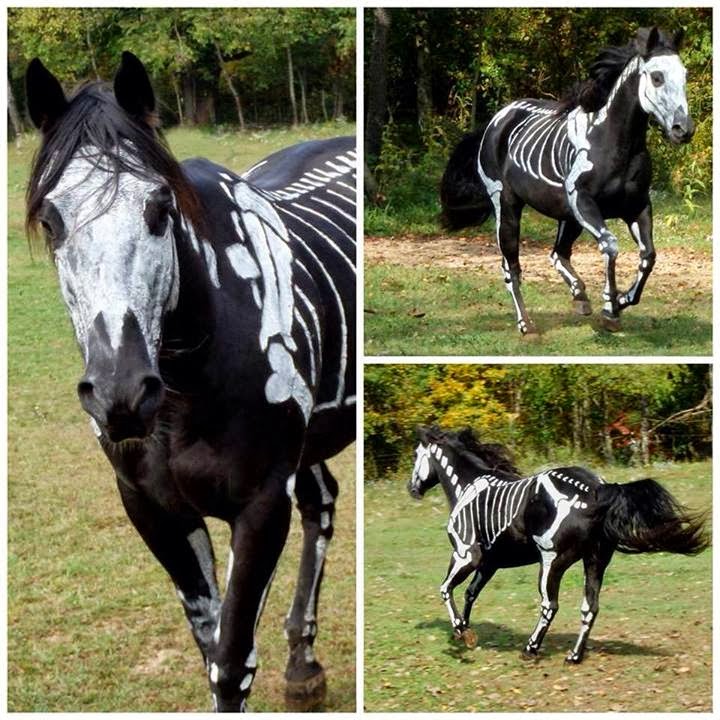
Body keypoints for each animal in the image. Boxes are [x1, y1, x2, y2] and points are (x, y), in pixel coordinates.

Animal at [25, 51, 356, 712]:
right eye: (50, 221)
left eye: (159, 208)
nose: (121, 394)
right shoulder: (152, 509)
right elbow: (209, 646)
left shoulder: (261, 506)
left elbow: (231, 662)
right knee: (323, 500)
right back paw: (303, 663)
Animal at [407, 426, 708, 662]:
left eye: (415, 455)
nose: (412, 489)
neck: (468, 486)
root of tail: (597, 489)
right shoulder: (490, 563)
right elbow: (470, 593)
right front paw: (465, 632)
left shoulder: (465, 555)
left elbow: (445, 589)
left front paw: (460, 630)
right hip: (595, 561)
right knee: (590, 607)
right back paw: (574, 655)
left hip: (551, 561)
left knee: (549, 605)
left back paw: (531, 648)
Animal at [440, 27, 694, 334]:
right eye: (657, 77)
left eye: (685, 75)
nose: (683, 130)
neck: (613, 142)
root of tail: (497, 120)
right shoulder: (583, 201)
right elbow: (610, 246)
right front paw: (609, 308)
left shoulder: (637, 206)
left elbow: (648, 256)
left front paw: (621, 300)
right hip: (508, 206)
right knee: (511, 266)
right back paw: (526, 324)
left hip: (568, 217)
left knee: (557, 253)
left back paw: (579, 295)